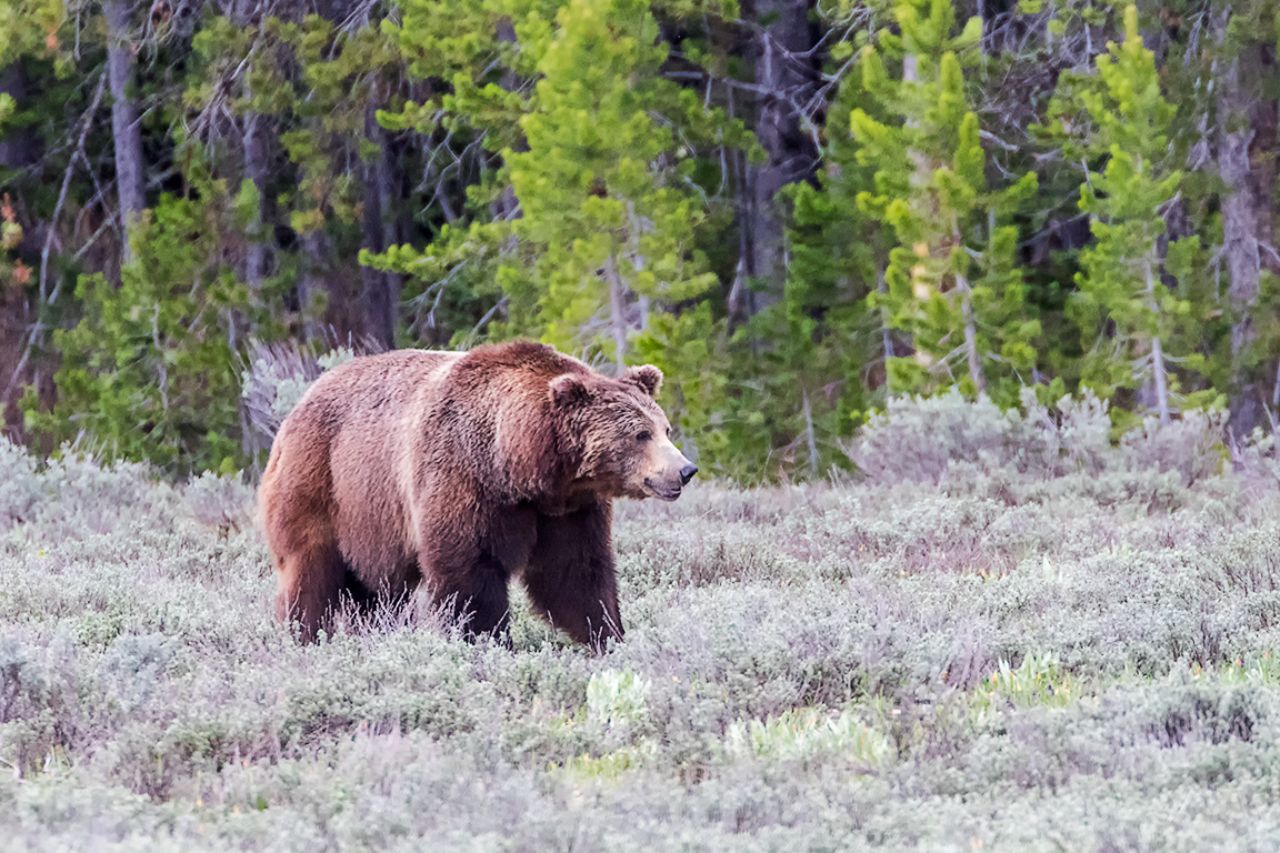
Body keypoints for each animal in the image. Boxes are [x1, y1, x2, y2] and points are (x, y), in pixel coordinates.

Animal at [257, 340, 697, 650]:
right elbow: (469, 572)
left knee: (378, 592)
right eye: (640, 434)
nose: (685, 470)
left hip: (369, 524)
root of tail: (297, 406)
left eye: (664, 428)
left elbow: (576, 573)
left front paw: (608, 637)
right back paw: (305, 636)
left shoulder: (567, 511)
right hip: (322, 485)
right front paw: (488, 640)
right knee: (310, 573)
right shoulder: (463, 480)